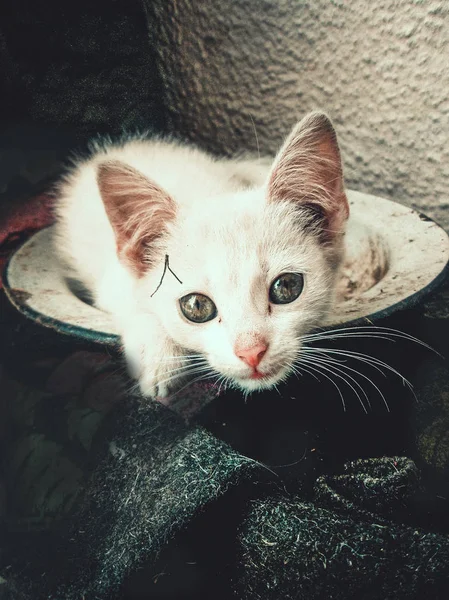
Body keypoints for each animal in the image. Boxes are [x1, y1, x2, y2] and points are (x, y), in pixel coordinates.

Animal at [51, 111, 346, 398]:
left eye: (286, 286)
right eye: (196, 306)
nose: (251, 352)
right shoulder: (114, 282)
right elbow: (134, 305)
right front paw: (160, 359)